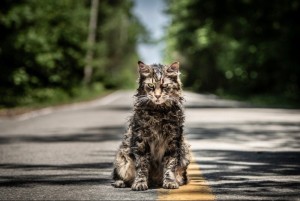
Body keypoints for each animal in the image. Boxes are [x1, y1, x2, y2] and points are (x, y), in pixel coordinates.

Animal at [111, 60, 191, 191]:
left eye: (165, 86)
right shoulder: (141, 141)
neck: (158, 112)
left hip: (185, 153)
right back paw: (120, 182)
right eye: (151, 85)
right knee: (118, 175)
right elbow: (142, 166)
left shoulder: (172, 141)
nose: (157, 96)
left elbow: (170, 165)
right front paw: (140, 183)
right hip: (122, 157)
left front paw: (170, 182)